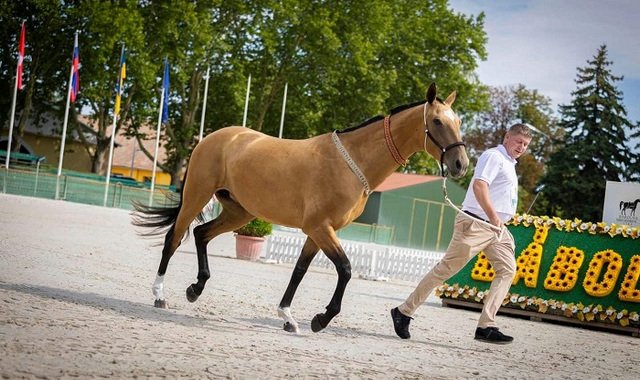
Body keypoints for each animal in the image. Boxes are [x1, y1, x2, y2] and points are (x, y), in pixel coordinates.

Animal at [131, 83, 470, 332]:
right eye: (437, 121)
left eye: (458, 122)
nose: (460, 165)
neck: (352, 162)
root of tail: (212, 137)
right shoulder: (320, 228)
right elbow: (345, 269)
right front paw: (321, 319)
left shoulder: (318, 232)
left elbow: (299, 271)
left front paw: (287, 316)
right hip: (197, 196)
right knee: (174, 238)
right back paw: (159, 294)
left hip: (240, 211)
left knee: (201, 234)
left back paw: (196, 288)